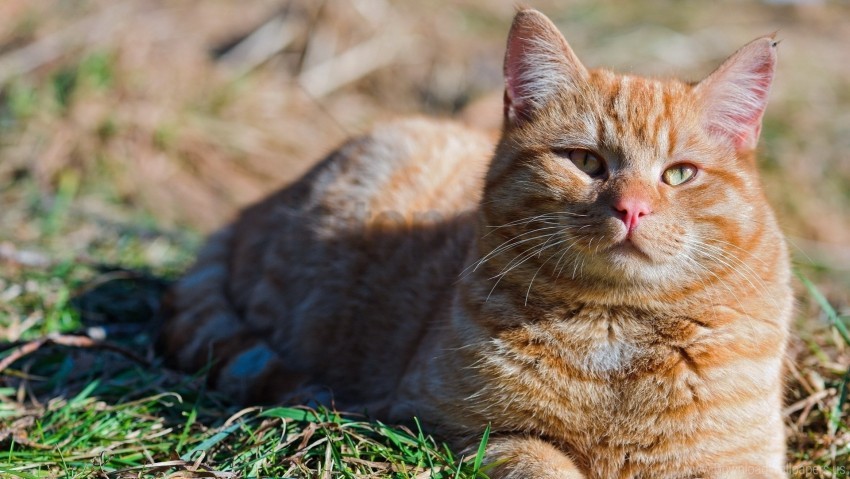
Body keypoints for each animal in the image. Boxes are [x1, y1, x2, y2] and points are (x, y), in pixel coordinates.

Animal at [157, 8, 788, 479]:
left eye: (679, 174)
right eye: (586, 162)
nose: (631, 208)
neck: (619, 329)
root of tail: (253, 207)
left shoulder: (741, 462)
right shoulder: (453, 424)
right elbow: (544, 463)